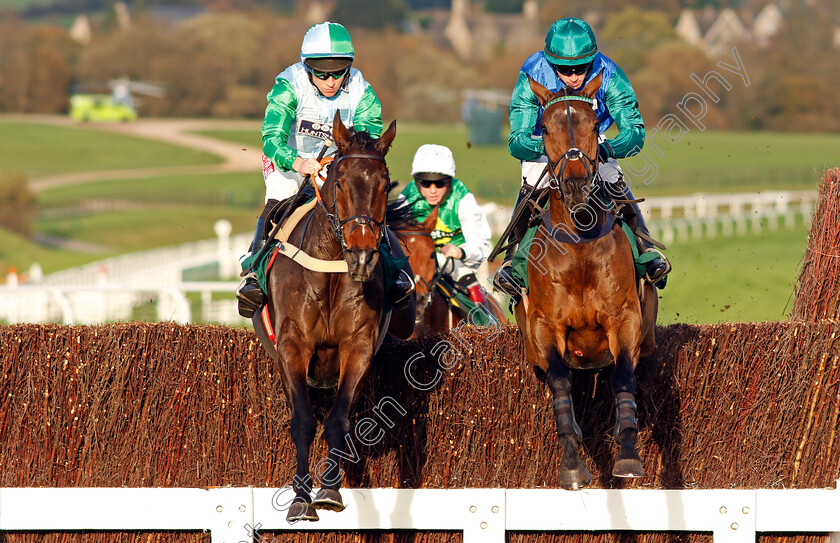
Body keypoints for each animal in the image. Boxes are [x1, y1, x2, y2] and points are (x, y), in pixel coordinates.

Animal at [253, 113, 416, 524]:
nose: (362, 255)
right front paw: (300, 498)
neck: (329, 268)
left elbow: (339, 419)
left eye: (384, 184)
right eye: (339, 182)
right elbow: (303, 420)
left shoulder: (357, 346)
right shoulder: (292, 346)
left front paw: (329, 490)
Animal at [516, 74, 660, 490]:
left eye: (595, 126)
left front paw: (628, 455)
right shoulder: (544, 325)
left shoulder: (625, 318)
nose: (577, 186)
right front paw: (572, 463)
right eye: (545, 128)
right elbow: (560, 381)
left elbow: (623, 376)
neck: (578, 244)